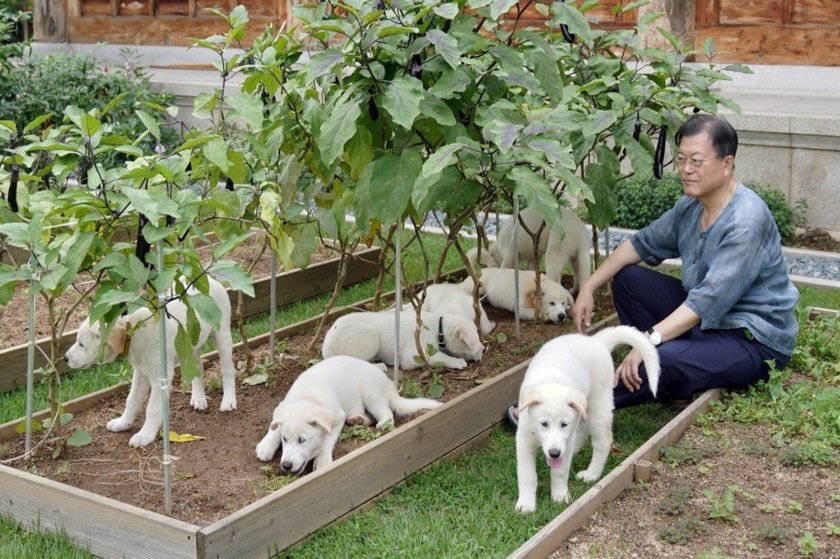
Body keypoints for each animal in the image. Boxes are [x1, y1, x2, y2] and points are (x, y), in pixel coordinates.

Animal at [63, 278, 236, 448]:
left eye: (81, 344)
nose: (64, 358)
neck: (132, 333)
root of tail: (210, 280)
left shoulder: (159, 377)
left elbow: (152, 409)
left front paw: (144, 435)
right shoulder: (140, 372)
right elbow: (131, 400)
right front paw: (123, 423)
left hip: (222, 335)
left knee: (227, 370)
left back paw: (228, 401)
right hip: (189, 345)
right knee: (197, 368)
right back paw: (199, 398)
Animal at [254, 354, 440, 472]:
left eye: (302, 440)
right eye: (285, 439)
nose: (286, 465)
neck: (307, 397)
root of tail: (389, 385)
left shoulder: (337, 417)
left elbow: (327, 440)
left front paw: (322, 460)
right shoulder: (283, 407)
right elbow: (275, 425)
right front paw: (266, 445)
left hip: (370, 391)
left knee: (386, 412)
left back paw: (382, 423)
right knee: (370, 416)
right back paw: (357, 419)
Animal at [512, 326, 664, 516]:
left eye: (564, 424)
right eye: (543, 424)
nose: (554, 453)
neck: (551, 380)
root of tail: (596, 341)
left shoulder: (566, 438)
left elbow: (560, 472)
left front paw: (560, 496)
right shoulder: (524, 440)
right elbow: (527, 475)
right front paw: (525, 504)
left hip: (598, 405)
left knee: (602, 441)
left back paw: (591, 473)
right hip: (583, 408)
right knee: (583, 428)